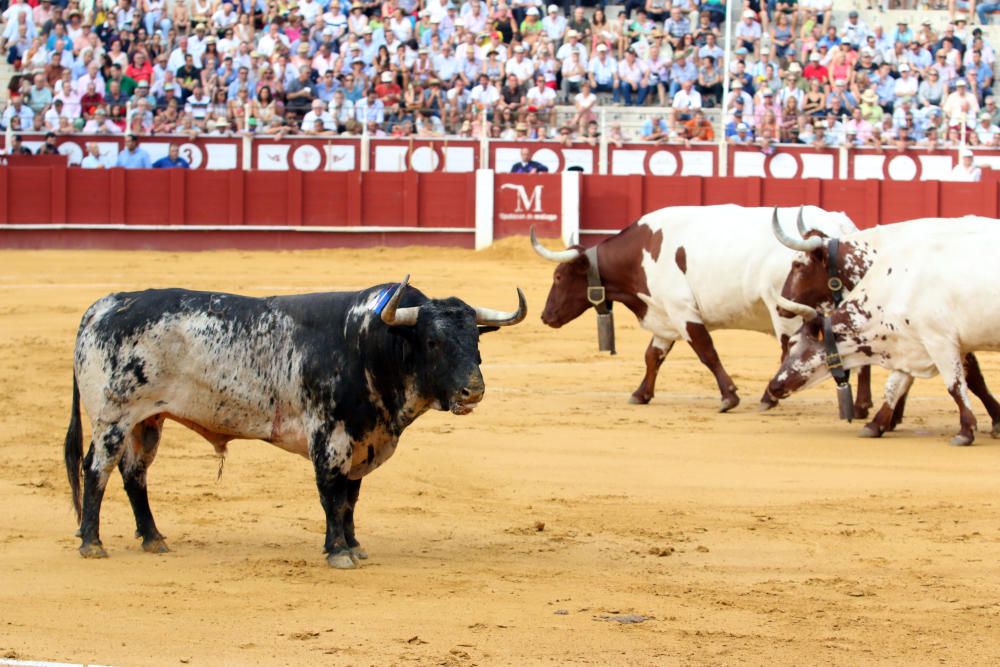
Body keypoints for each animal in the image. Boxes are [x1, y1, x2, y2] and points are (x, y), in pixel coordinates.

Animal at [63, 276, 528, 568]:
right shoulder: (330, 437)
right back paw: (92, 542)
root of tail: (103, 306)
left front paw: (354, 545)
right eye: (432, 342)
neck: (369, 343)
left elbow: (351, 498)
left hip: (148, 420)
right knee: (97, 469)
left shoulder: (364, 439)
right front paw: (338, 552)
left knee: (134, 474)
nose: (473, 391)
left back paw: (153, 538)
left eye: (476, 340)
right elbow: (331, 496)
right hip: (112, 418)